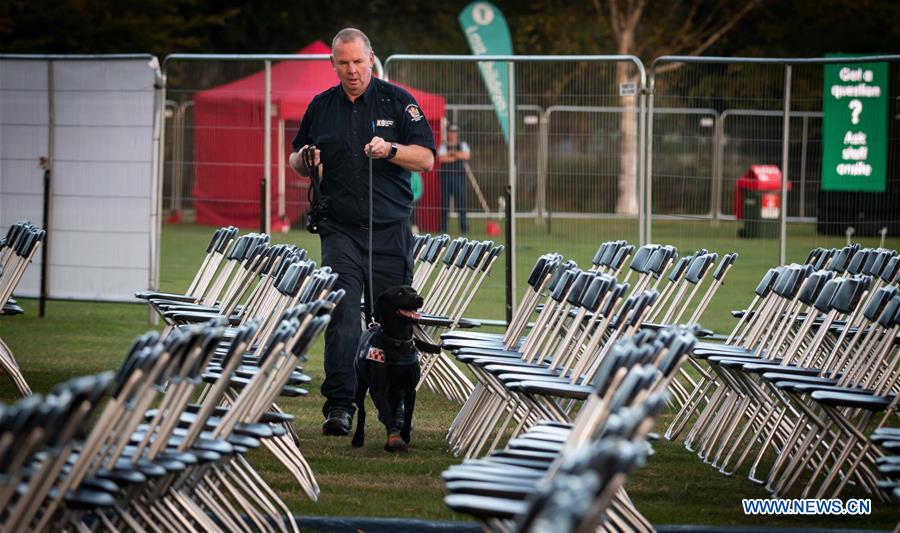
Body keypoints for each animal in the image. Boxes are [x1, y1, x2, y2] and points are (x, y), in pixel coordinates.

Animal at [352, 284, 440, 450]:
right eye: (399, 293)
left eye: (414, 291)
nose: (419, 298)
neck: (398, 343)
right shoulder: (379, 390)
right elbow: (386, 415)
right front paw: (394, 439)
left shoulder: (410, 390)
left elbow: (407, 416)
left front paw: (404, 437)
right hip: (361, 386)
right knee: (362, 411)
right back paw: (358, 438)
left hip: (395, 393)